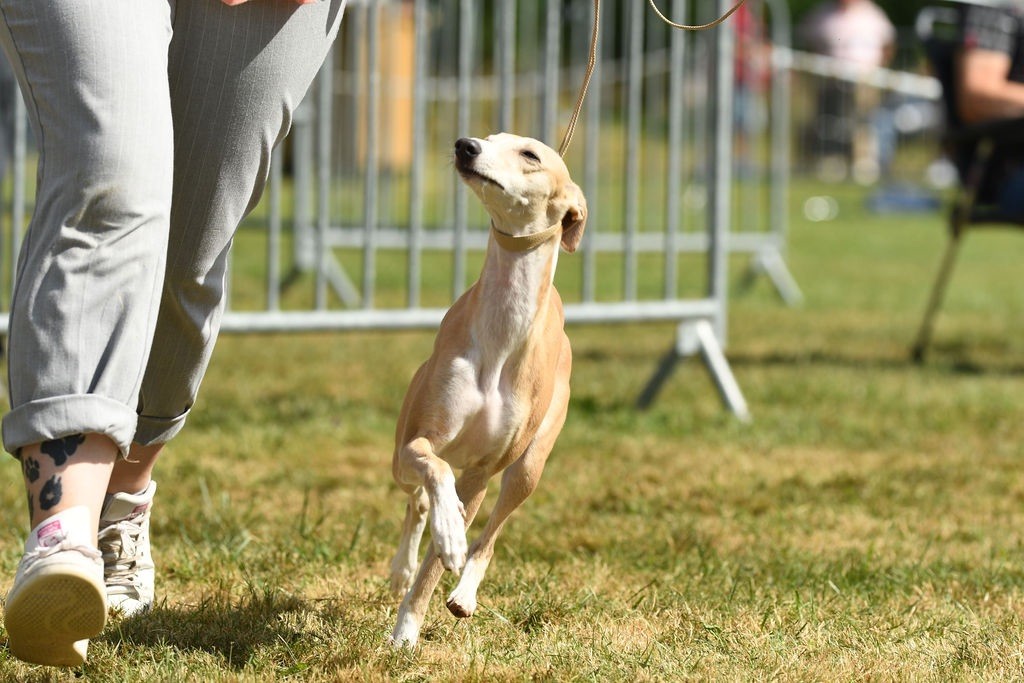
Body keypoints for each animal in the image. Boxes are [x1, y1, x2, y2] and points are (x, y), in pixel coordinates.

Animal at [389, 132, 589, 647]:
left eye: (530, 154)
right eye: (492, 138)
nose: (466, 145)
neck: (501, 332)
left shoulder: (482, 471)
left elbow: (442, 562)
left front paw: (407, 631)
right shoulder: (418, 441)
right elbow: (435, 474)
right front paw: (444, 536)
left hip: (531, 464)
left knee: (494, 529)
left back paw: (465, 592)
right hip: (401, 456)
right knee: (416, 496)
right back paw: (403, 565)